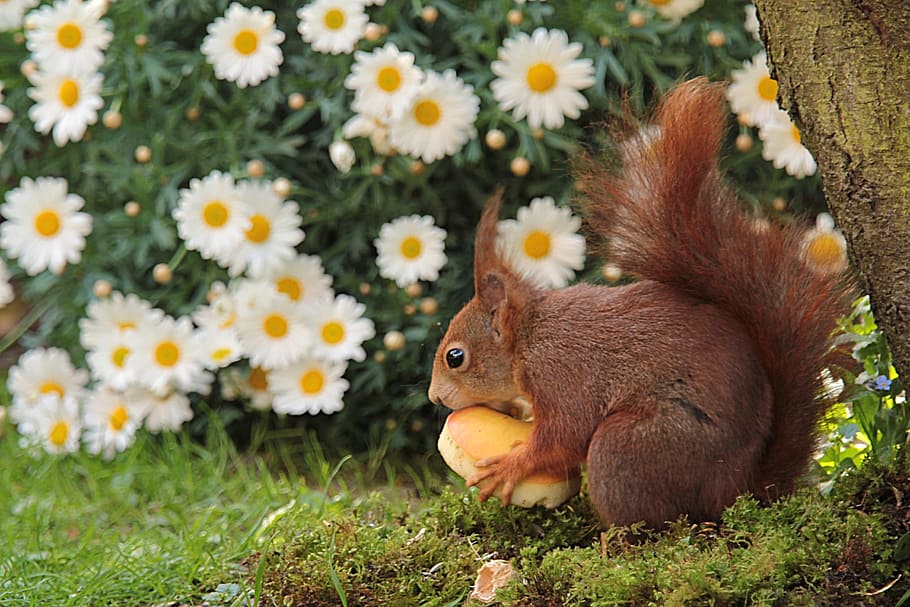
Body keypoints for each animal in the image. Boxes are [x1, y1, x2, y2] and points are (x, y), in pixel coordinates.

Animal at [427, 78, 854, 529]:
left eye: (455, 357)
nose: (435, 398)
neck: (529, 338)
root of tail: (741, 489)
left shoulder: (562, 375)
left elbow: (564, 435)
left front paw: (513, 465)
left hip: (629, 448)